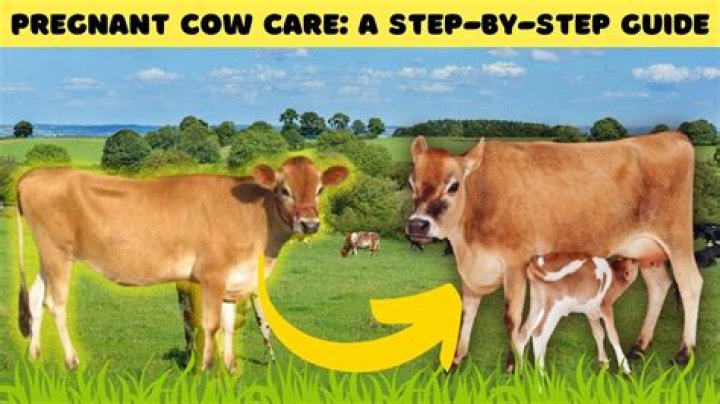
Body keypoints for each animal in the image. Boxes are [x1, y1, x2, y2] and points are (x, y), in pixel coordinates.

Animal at [15, 157, 349, 372]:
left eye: (319, 189)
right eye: (284, 189)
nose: (310, 224)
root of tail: (35, 174)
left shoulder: (234, 280)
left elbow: (229, 324)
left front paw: (231, 368)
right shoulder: (212, 274)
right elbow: (212, 324)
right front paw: (206, 369)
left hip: (48, 255)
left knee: (35, 296)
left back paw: (34, 354)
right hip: (57, 252)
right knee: (56, 303)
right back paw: (72, 361)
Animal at [405, 133, 701, 371]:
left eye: (453, 186)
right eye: (411, 183)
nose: (417, 224)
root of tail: (672, 135)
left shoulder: (515, 263)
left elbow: (511, 318)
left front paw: (512, 367)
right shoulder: (472, 270)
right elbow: (467, 313)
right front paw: (455, 361)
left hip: (677, 239)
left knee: (690, 284)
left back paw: (684, 353)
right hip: (647, 251)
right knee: (659, 286)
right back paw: (639, 346)